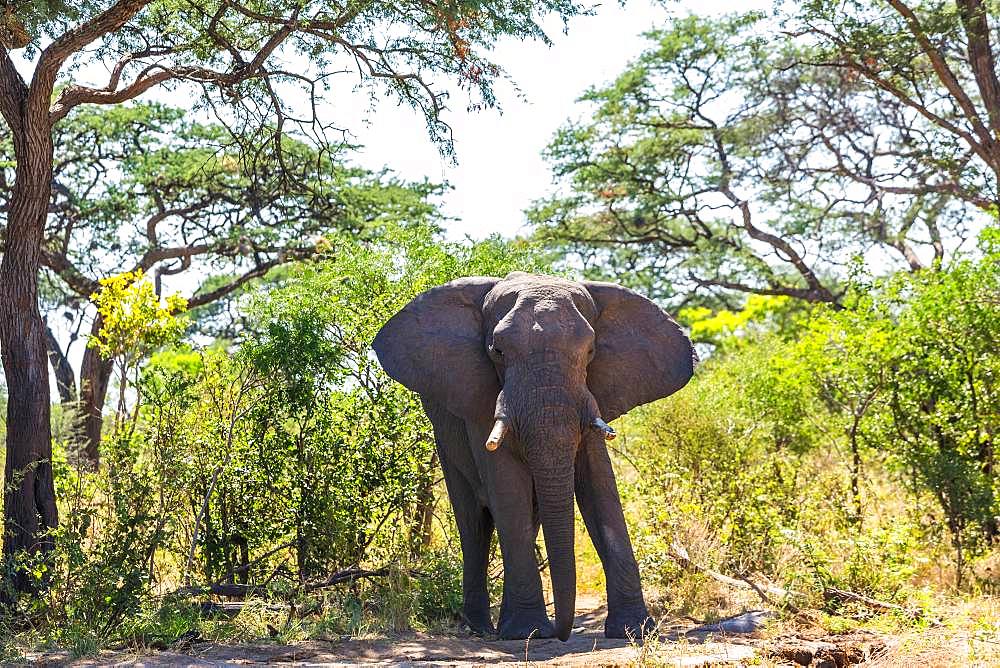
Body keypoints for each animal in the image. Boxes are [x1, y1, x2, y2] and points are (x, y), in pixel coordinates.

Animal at [374, 272, 696, 640]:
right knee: (474, 523)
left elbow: (600, 484)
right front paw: (526, 632)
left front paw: (634, 630)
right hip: (444, 437)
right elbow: (506, 485)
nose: (562, 632)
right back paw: (480, 628)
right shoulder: (480, 401)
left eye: (591, 351)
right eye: (497, 351)